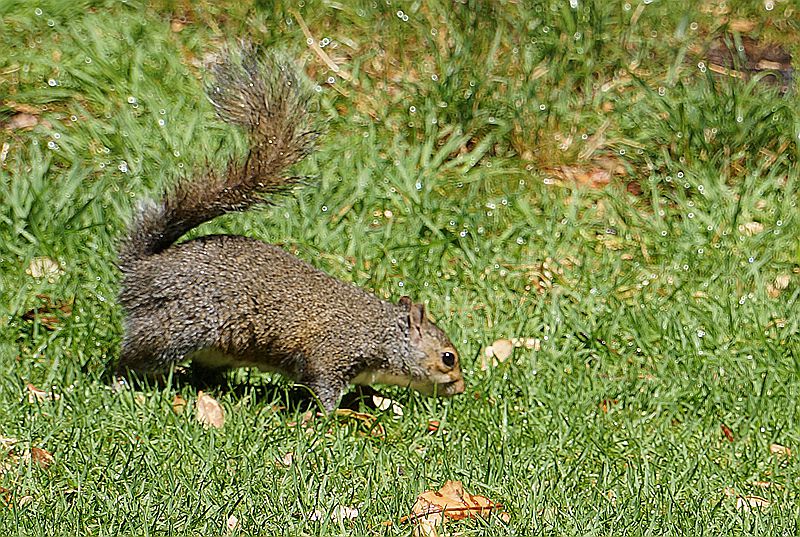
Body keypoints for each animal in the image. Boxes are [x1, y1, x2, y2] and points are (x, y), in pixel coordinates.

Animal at [116, 45, 466, 410]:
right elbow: (323, 388)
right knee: (135, 357)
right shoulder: (331, 354)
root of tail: (143, 267)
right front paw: (333, 415)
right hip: (175, 326)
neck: (379, 332)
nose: (461, 388)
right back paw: (126, 382)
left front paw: (377, 402)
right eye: (448, 358)